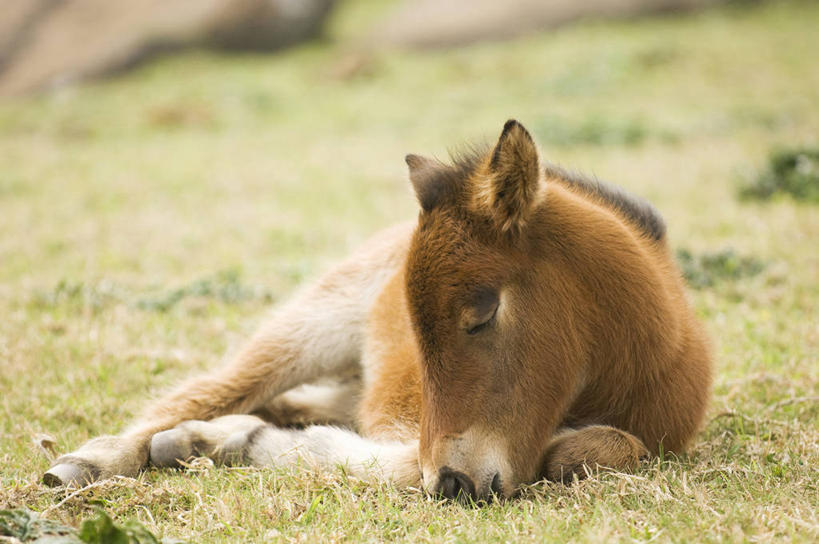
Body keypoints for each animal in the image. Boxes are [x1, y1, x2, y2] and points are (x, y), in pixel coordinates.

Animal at [44, 120, 712, 502]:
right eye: (414, 327)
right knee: (204, 391)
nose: (454, 482)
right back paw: (95, 460)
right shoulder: (417, 437)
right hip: (311, 326)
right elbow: (396, 464)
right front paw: (237, 444)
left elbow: (595, 451)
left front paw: (229, 442)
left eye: (482, 312)